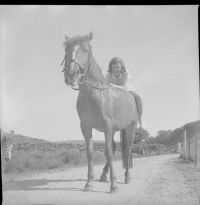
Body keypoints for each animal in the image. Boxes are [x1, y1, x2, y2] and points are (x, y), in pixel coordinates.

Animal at [61, 31, 142, 192]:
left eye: (86, 50)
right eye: (66, 50)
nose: (71, 74)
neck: (96, 94)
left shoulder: (107, 125)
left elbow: (108, 152)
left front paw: (114, 185)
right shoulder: (86, 126)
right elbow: (90, 152)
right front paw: (89, 183)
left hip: (130, 128)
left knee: (128, 150)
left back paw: (127, 177)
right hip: (114, 130)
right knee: (117, 147)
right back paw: (103, 176)